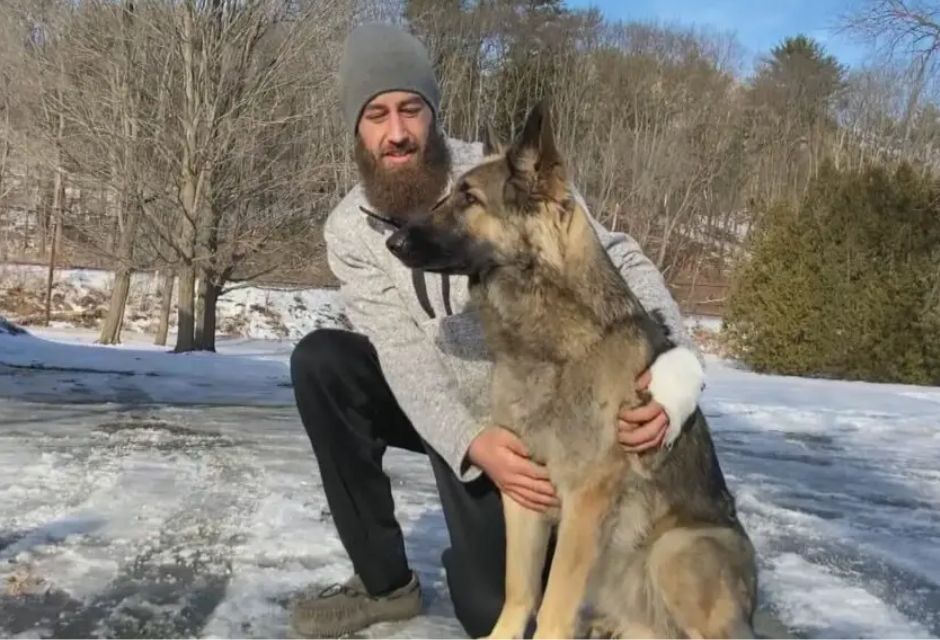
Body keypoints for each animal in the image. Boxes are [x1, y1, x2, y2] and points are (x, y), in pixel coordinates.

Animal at [382, 102, 756, 636]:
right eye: (448, 194)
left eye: (469, 198)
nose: (392, 240)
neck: (551, 345)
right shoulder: (523, 493)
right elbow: (520, 590)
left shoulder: (584, 501)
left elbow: (555, 603)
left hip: (674, 551)